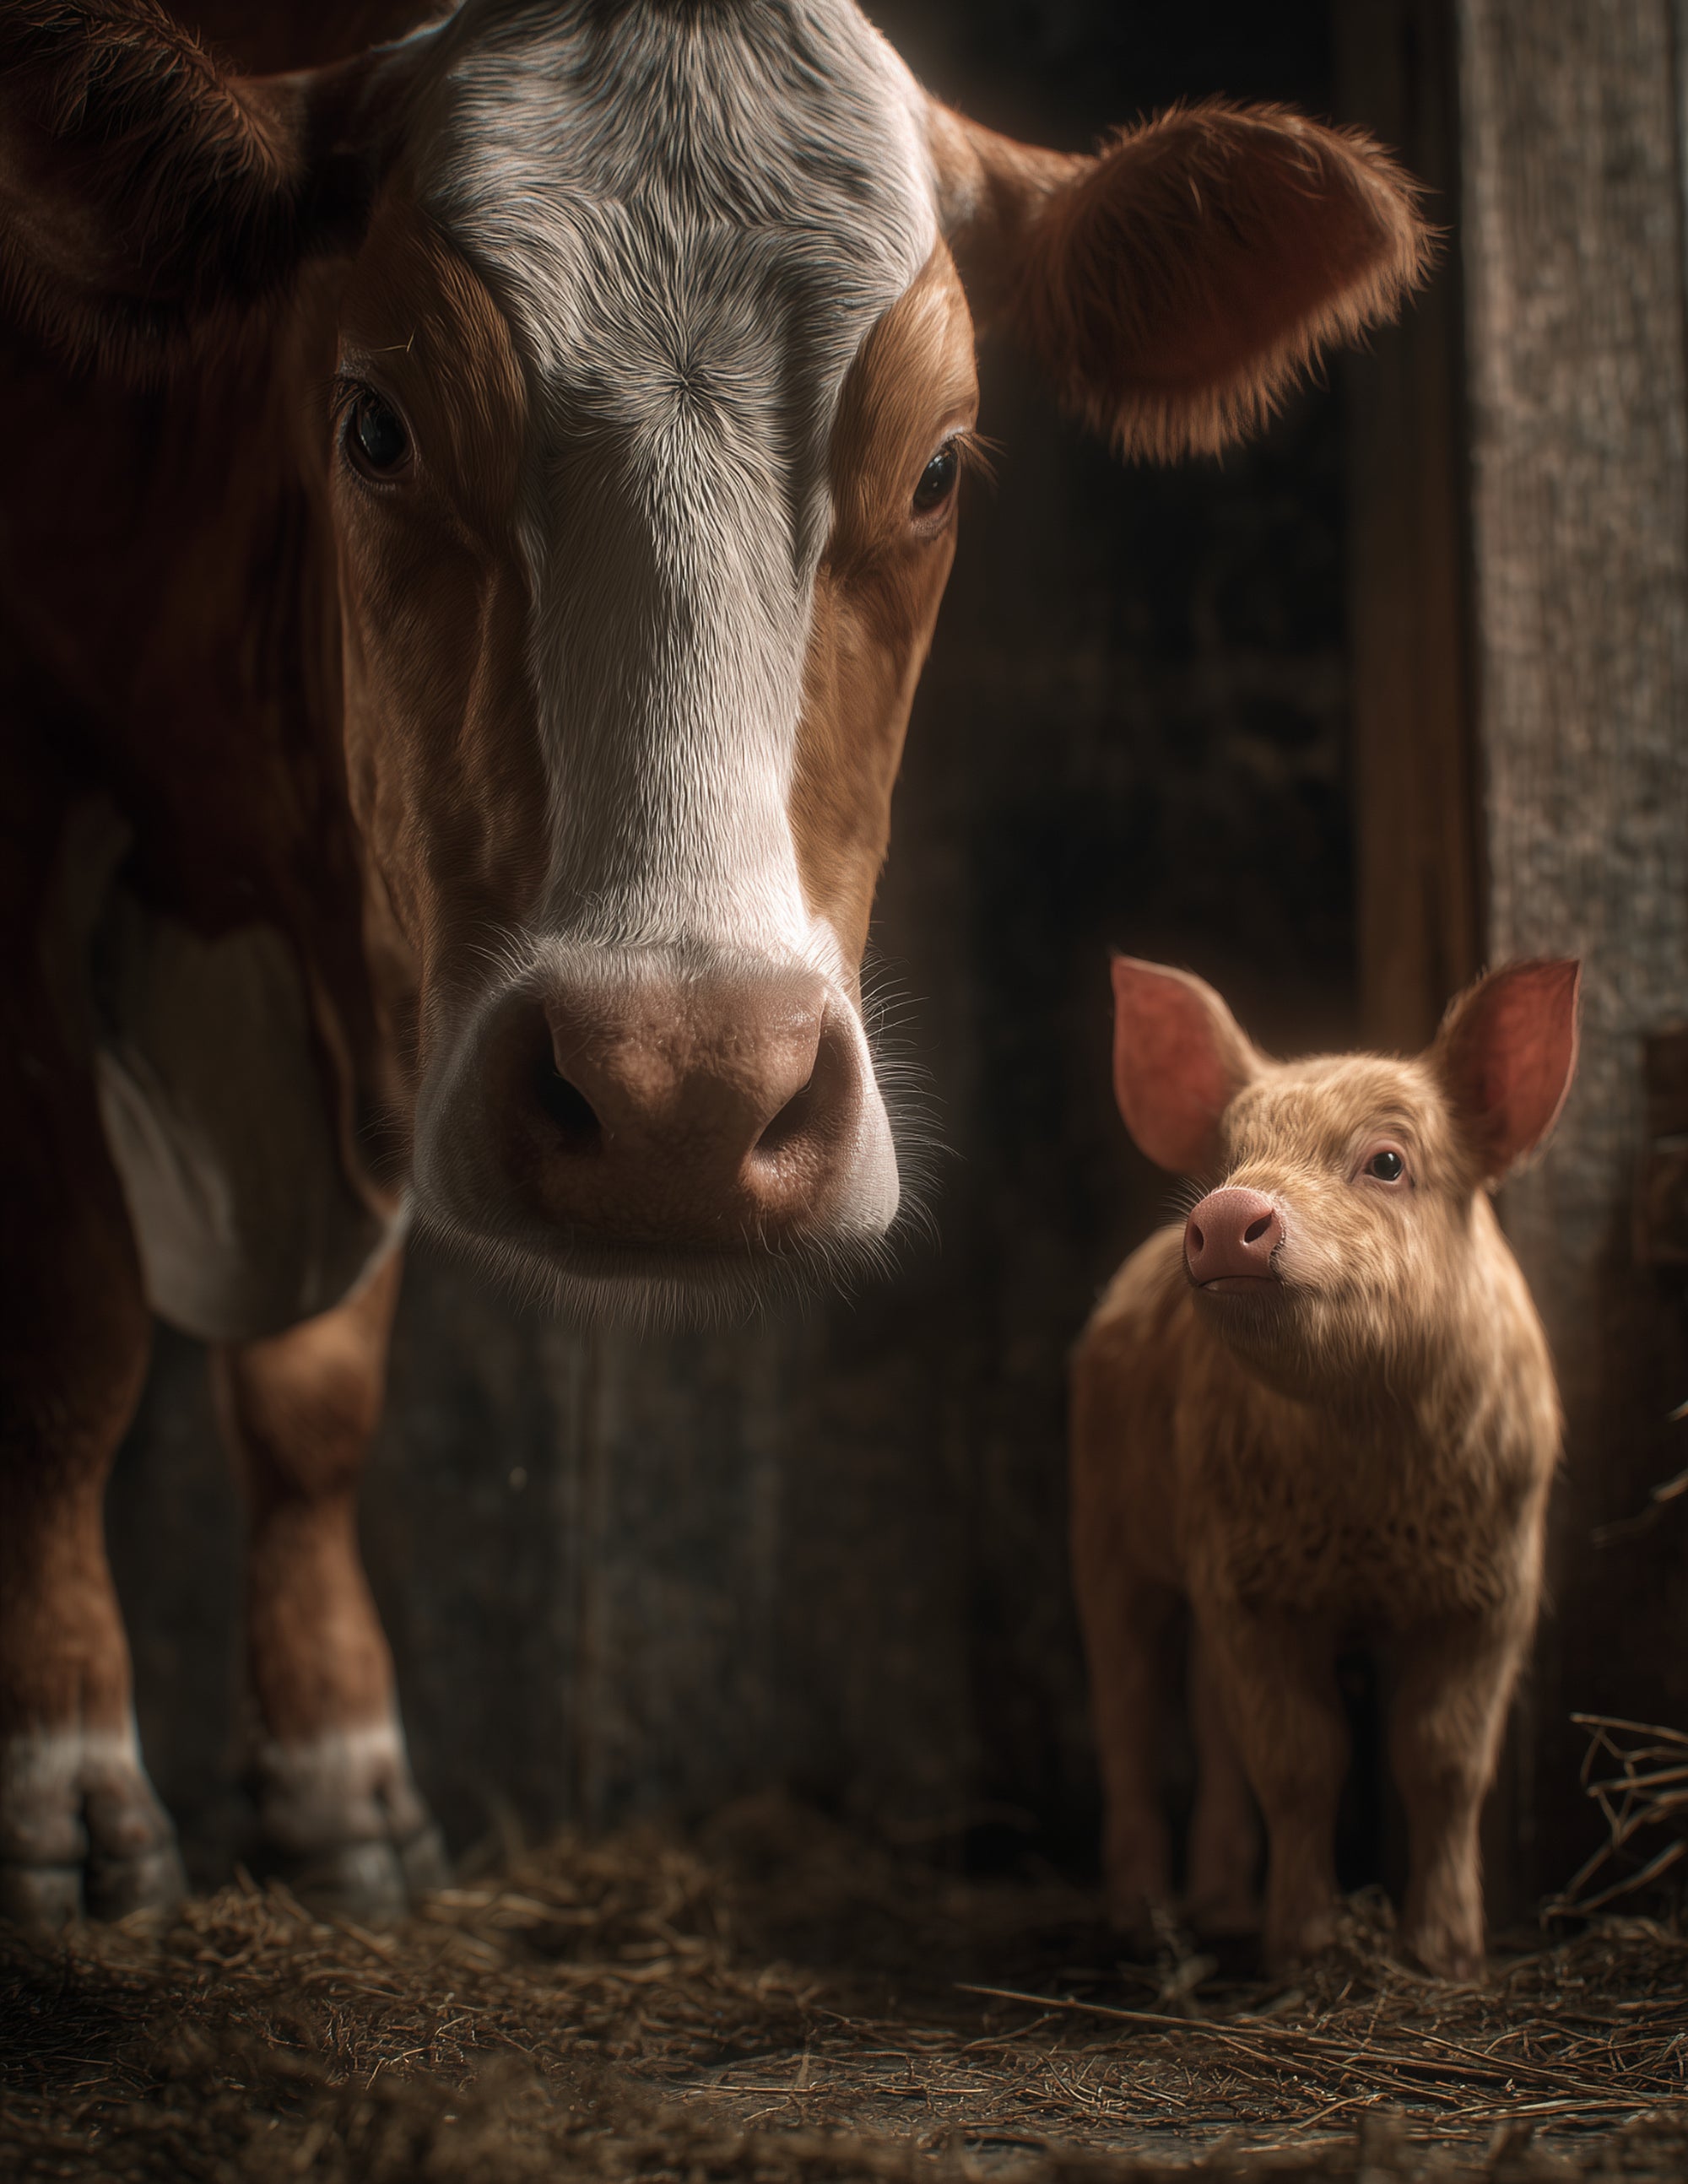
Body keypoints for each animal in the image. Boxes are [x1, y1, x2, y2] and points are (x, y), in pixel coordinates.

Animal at [0, 0, 1429, 1929]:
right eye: (373, 425)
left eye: (936, 465)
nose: (683, 1096)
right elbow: (71, 1314)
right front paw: (67, 1794)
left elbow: (316, 1396)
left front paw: (343, 1790)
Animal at [1070, 955, 1579, 1979]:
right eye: (1229, 1157)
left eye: (1386, 1162)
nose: (1229, 1207)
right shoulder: (1251, 1584)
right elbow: (1302, 1757)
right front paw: (1304, 1954)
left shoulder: (1495, 1585)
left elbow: (1442, 1759)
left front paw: (1446, 1958)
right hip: (1105, 1539)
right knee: (1130, 1715)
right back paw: (1142, 1923)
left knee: (1207, 1713)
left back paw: (1221, 1913)